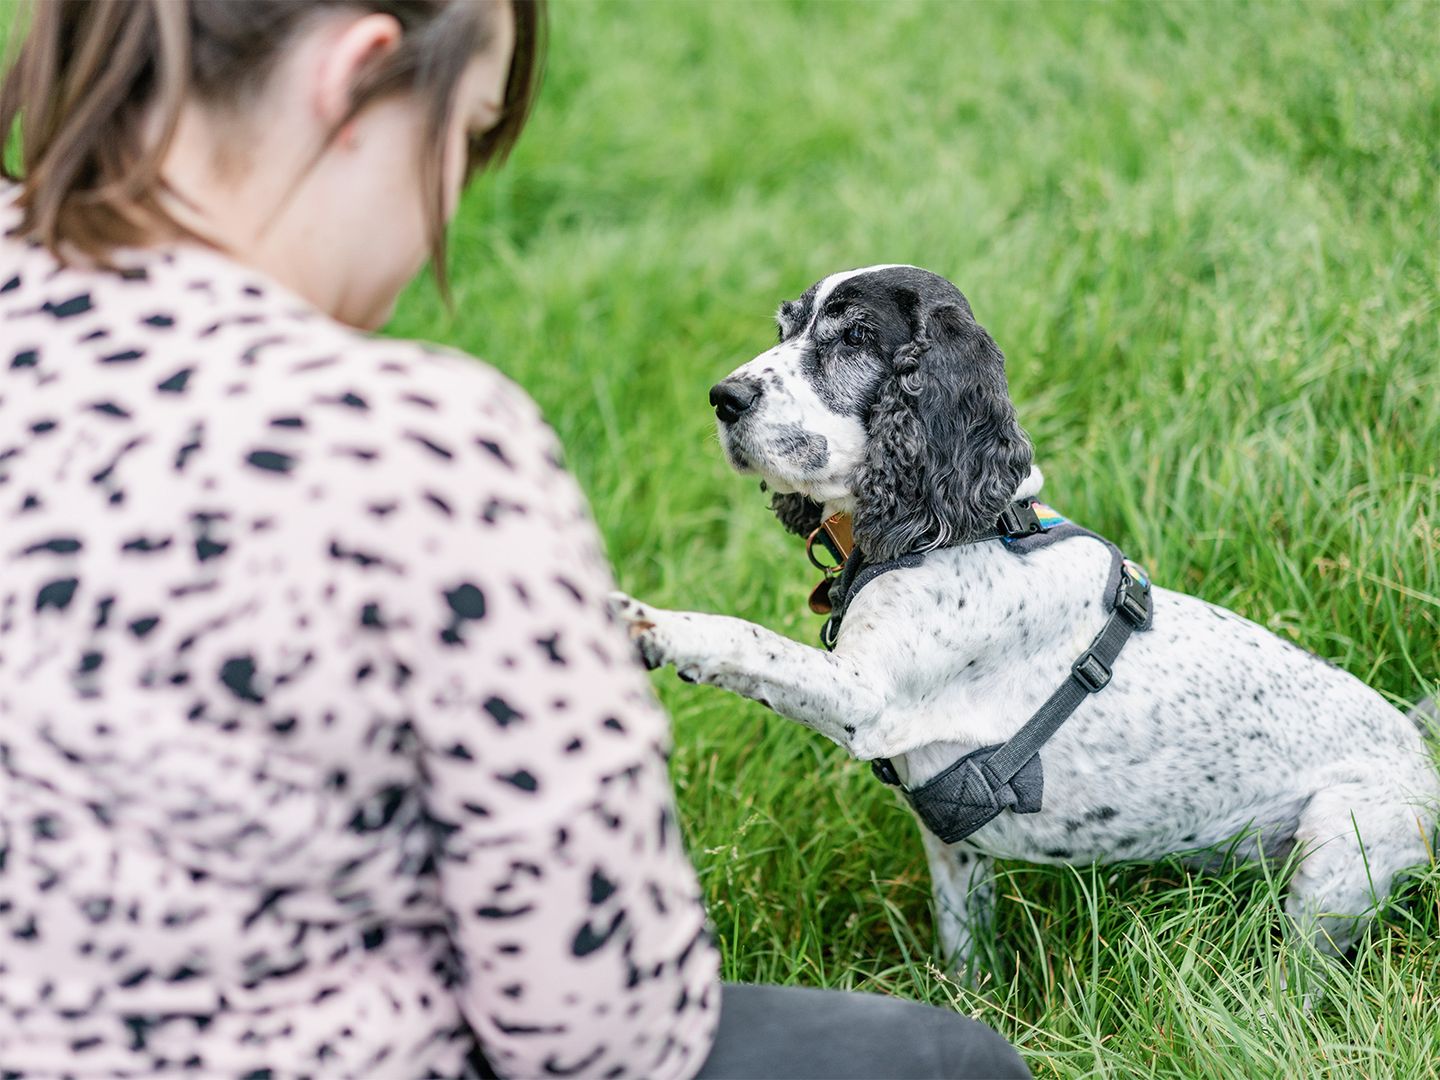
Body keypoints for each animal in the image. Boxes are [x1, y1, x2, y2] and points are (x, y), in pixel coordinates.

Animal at [610, 264, 1440, 973]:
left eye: (854, 337)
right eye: (786, 327)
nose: (723, 397)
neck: (957, 529)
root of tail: (1422, 755)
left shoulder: (868, 696)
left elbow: (743, 638)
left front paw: (651, 623)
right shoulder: (954, 851)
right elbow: (968, 961)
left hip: (1337, 859)